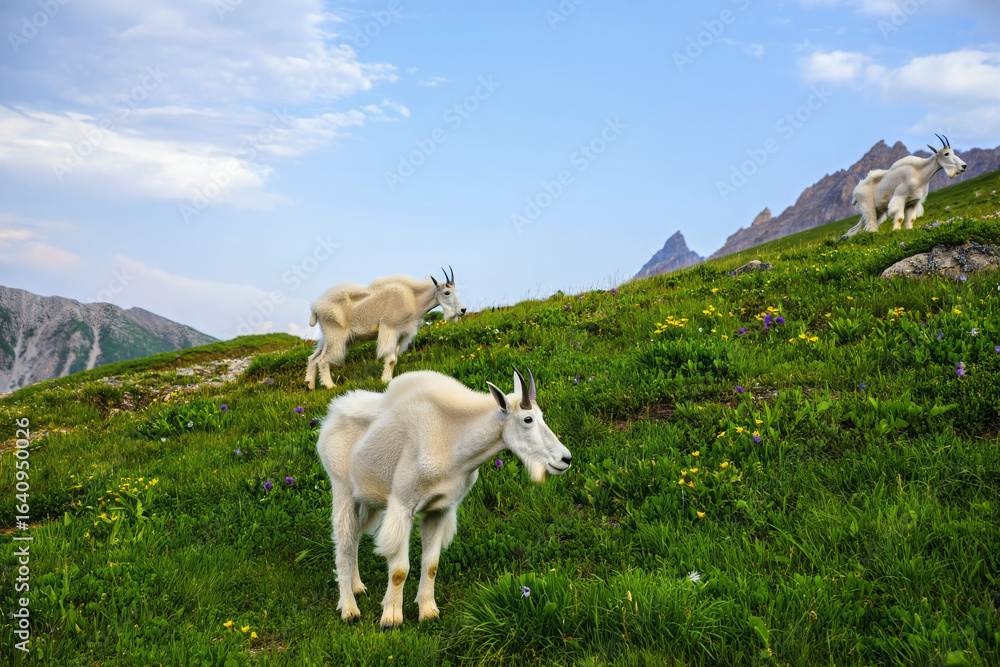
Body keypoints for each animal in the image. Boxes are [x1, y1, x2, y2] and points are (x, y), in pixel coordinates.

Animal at [305, 268, 466, 389]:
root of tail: (315, 308)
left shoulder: (402, 334)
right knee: (323, 359)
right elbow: (390, 359)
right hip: (335, 334)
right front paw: (385, 381)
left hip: (327, 337)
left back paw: (310, 385)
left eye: (456, 291)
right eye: (447, 292)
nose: (463, 310)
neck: (414, 300)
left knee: (313, 358)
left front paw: (389, 380)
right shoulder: (390, 329)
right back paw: (330, 386)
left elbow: (393, 360)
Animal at [316, 367, 572, 628]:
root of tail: (331, 417)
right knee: (343, 545)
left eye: (541, 416)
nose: (565, 459)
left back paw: (358, 587)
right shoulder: (402, 505)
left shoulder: (439, 509)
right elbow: (399, 570)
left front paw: (428, 612)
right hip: (341, 489)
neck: (451, 439)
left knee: (355, 538)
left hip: (365, 499)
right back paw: (349, 609)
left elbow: (431, 565)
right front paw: (391, 619)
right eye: (528, 419)